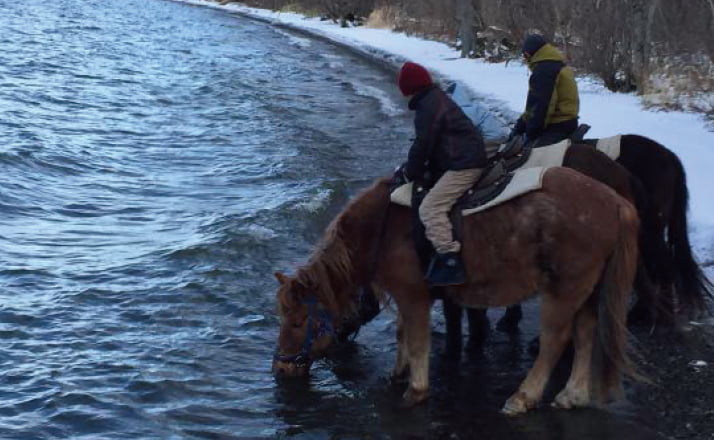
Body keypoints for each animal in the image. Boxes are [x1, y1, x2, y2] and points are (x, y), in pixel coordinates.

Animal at [274, 168, 640, 412]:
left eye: (297, 321)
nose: (280, 368)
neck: (383, 228)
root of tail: (615, 202)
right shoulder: (406, 298)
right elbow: (402, 334)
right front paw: (398, 373)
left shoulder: (415, 297)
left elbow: (417, 341)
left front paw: (416, 389)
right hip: (587, 291)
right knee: (585, 335)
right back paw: (571, 395)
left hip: (564, 290)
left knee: (555, 341)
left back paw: (523, 397)